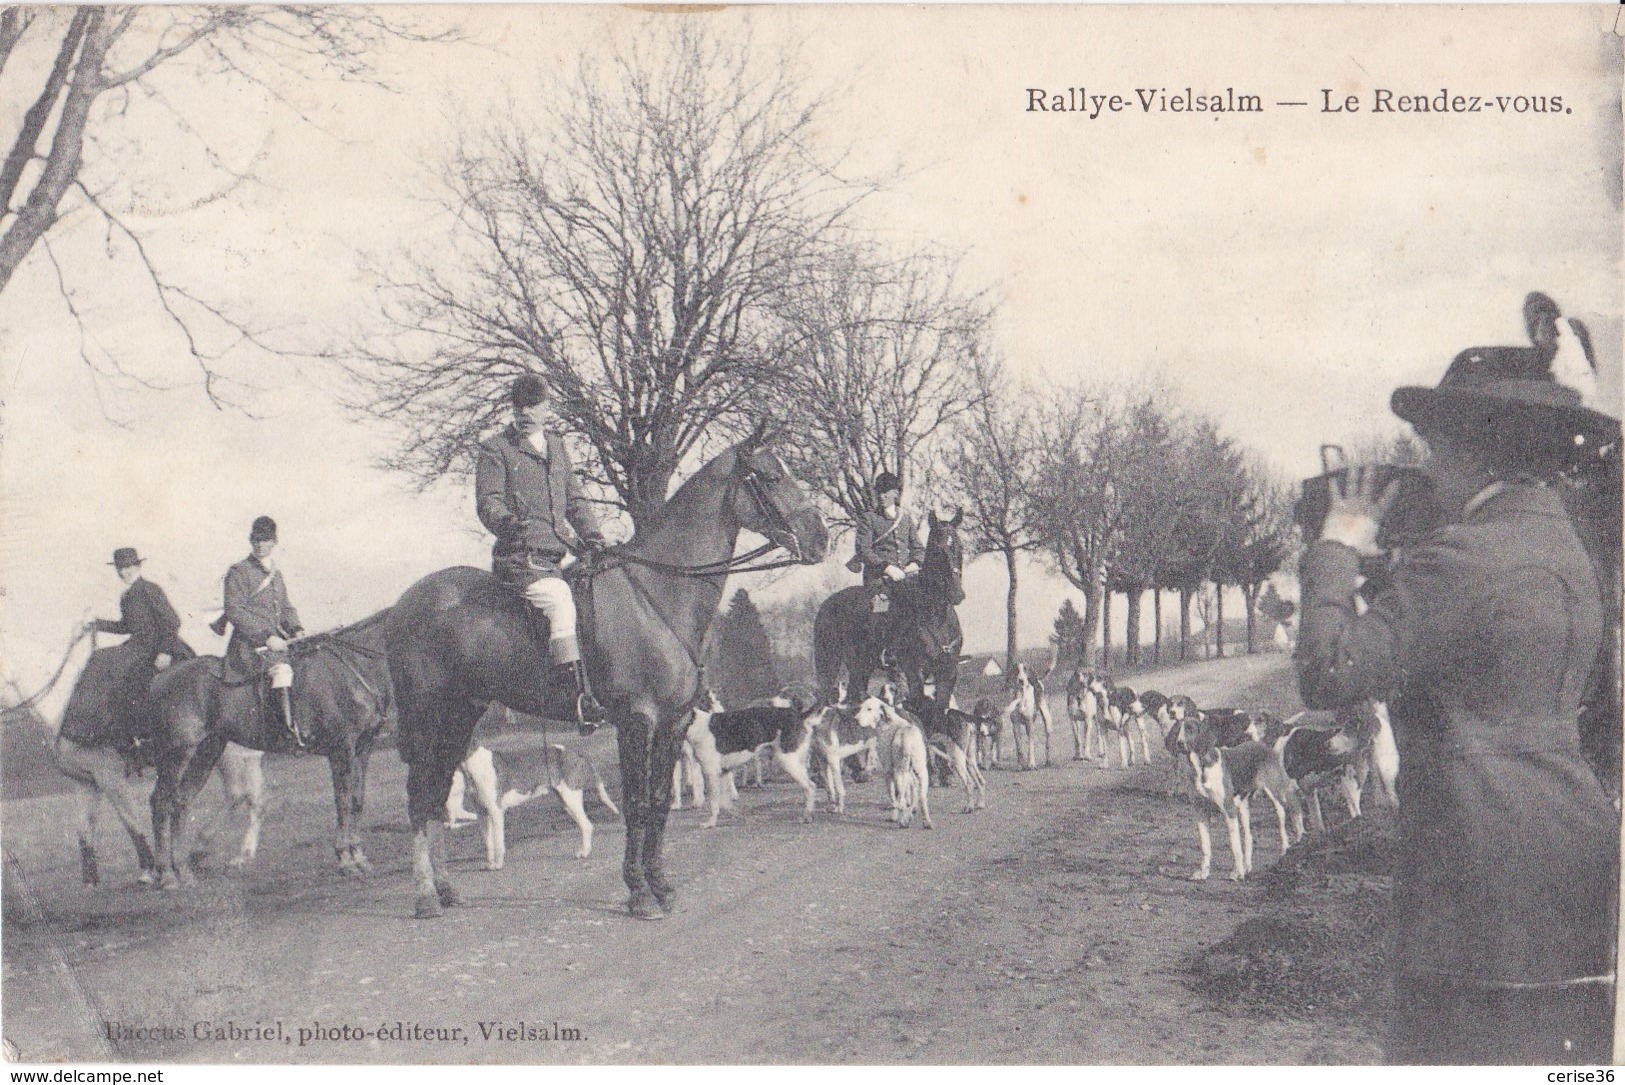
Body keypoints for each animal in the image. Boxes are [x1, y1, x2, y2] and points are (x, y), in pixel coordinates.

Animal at [148, 610, 396, 890]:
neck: (355, 665)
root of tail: (160, 678)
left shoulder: (363, 748)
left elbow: (357, 801)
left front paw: (359, 856)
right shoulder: (341, 749)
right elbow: (343, 802)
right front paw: (345, 859)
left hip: (206, 752)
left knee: (181, 801)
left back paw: (184, 871)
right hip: (177, 753)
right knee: (160, 802)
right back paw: (167, 875)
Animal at [386, 435, 832, 922]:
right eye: (770, 476)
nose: (821, 537)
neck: (655, 593)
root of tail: (403, 605)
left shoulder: (672, 723)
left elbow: (658, 802)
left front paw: (661, 885)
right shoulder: (636, 722)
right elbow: (636, 804)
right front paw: (639, 893)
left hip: (460, 717)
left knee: (434, 794)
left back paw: (446, 890)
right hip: (430, 718)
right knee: (420, 796)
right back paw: (426, 896)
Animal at [812, 513, 962, 714]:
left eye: (960, 547)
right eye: (938, 550)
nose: (957, 594)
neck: (936, 617)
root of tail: (826, 605)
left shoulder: (948, 673)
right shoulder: (914, 670)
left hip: (860, 666)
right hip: (829, 663)